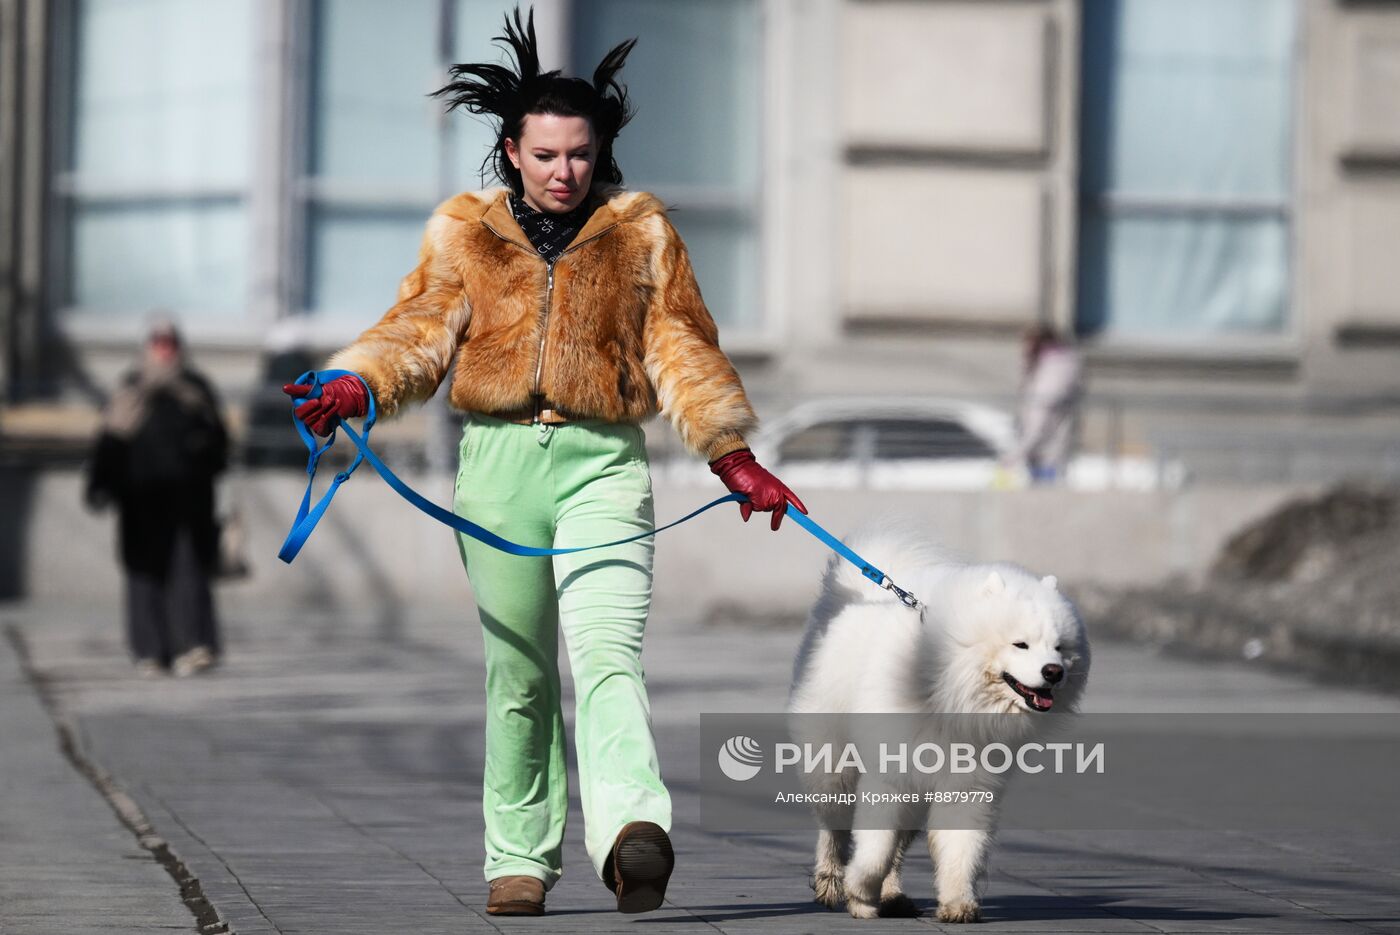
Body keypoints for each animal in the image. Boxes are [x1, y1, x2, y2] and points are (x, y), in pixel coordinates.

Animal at [795, 526, 1086, 918]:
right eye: (1020, 644)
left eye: (1059, 647)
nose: (1054, 672)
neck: (950, 693)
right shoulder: (892, 776)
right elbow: (874, 849)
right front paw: (859, 895)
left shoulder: (969, 785)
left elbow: (960, 850)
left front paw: (958, 903)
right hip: (834, 767)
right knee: (834, 830)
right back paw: (829, 883)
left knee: (897, 847)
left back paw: (893, 896)